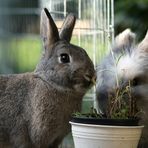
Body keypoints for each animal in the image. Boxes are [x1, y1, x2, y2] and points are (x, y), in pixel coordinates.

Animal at [0, 8, 95, 148]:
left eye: (84, 51)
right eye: (64, 57)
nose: (90, 75)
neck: (50, 83)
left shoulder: (56, 139)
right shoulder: (38, 139)